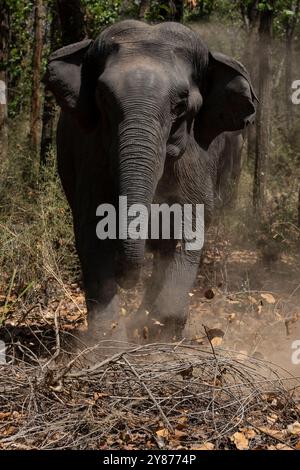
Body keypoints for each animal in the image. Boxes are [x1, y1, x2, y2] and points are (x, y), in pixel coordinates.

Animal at [45, 19, 256, 342]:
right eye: (103, 97)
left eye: (181, 104)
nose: (126, 276)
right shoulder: (92, 152)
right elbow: (93, 226)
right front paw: (106, 345)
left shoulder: (196, 157)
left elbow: (188, 225)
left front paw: (158, 333)